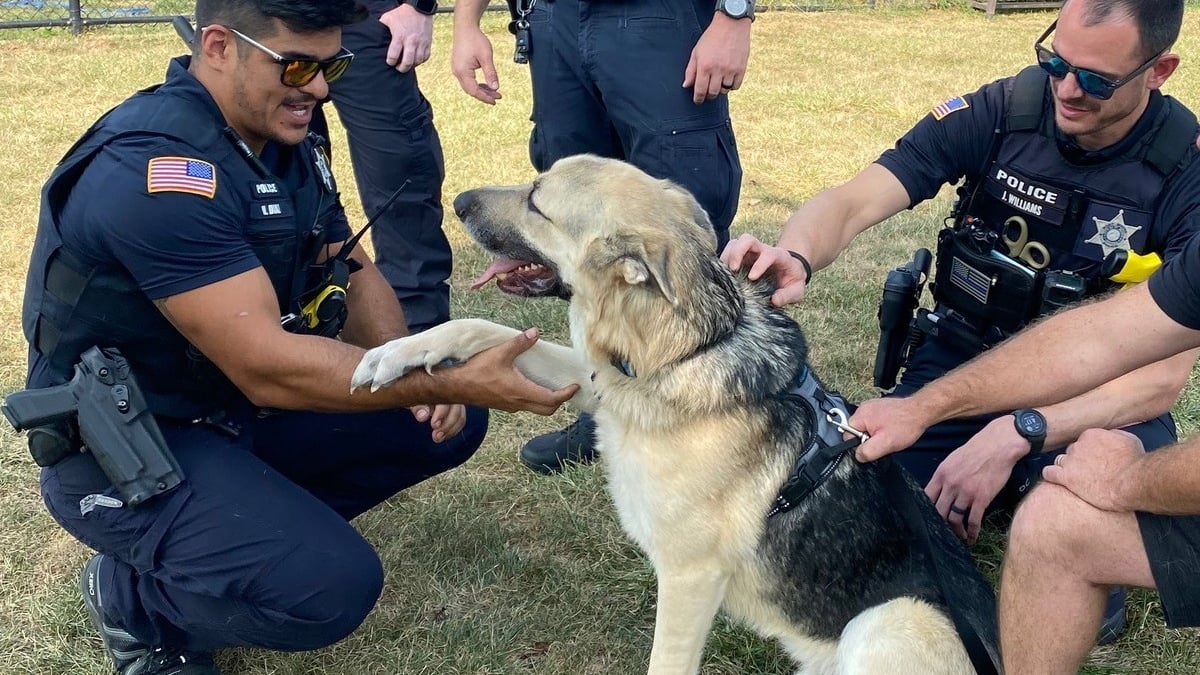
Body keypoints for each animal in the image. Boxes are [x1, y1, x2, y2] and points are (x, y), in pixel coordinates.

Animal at [350, 154, 998, 667]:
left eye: (536, 200)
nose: (455, 202)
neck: (682, 352)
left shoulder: (690, 580)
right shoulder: (598, 381)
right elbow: (478, 325)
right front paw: (394, 354)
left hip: (890, 618)